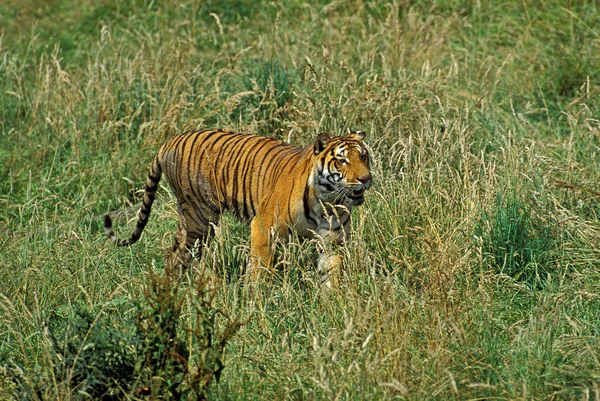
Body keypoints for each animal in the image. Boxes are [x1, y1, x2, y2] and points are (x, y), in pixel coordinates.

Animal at [105, 128, 372, 284]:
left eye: (363, 156)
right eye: (342, 160)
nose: (366, 178)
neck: (327, 199)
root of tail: (170, 141)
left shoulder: (332, 240)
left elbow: (331, 274)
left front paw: (333, 305)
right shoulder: (264, 227)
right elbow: (259, 270)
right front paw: (258, 303)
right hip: (200, 218)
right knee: (179, 255)